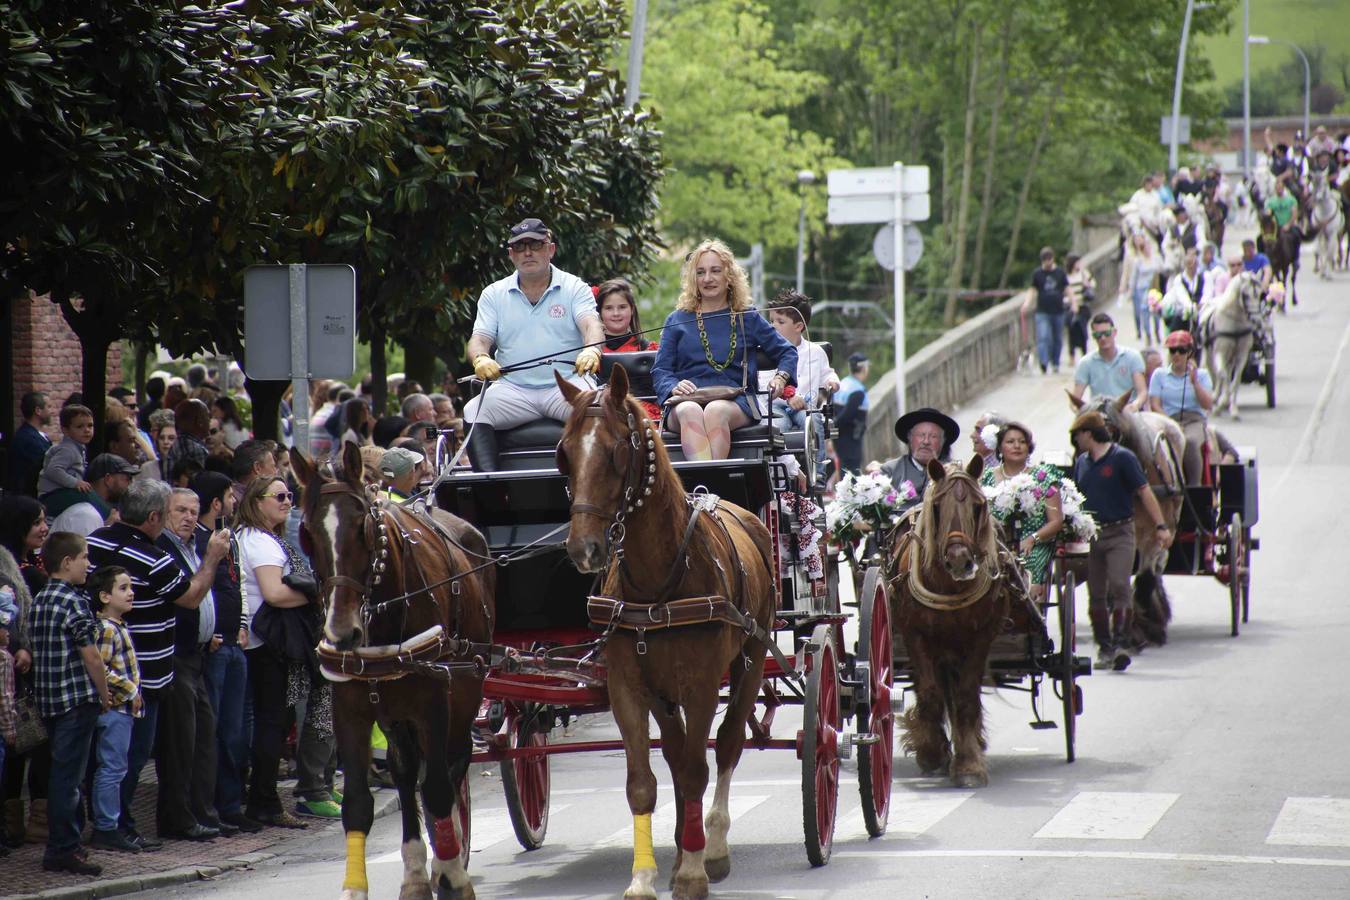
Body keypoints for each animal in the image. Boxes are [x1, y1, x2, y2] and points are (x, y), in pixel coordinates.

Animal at [290, 442, 496, 900]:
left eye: (363, 527)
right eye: (308, 533)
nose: (342, 632)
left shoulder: (435, 702)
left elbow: (436, 789)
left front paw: (452, 876)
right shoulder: (351, 711)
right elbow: (356, 804)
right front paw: (358, 889)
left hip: (465, 691)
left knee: (452, 766)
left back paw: (445, 858)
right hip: (394, 713)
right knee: (405, 772)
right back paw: (418, 873)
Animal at [550, 367, 783, 900]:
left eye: (615, 450)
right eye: (564, 453)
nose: (583, 549)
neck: (659, 578)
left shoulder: (701, 685)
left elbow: (699, 768)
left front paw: (696, 870)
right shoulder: (629, 687)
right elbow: (645, 782)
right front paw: (644, 877)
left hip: (750, 658)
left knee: (728, 743)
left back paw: (710, 846)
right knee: (677, 755)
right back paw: (681, 848)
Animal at [891, 458, 1009, 788]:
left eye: (978, 506)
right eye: (937, 508)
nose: (959, 561)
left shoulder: (981, 636)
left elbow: (966, 696)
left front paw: (968, 765)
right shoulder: (914, 634)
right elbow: (930, 695)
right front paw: (931, 752)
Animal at [1063, 394, 1182, 647]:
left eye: (1114, 433)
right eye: (1075, 440)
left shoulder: (1151, 537)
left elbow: (1145, 579)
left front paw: (1144, 627)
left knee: (1156, 569)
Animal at [1204, 272, 1263, 420]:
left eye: (1260, 294)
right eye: (1245, 295)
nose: (1257, 321)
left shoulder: (1242, 355)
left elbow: (1235, 381)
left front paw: (1233, 409)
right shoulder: (1220, 352)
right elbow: (1223, 375)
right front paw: (1220, 404)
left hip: (1230, 357)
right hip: (1209, 353)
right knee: (1215, 372)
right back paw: (1215, 397)